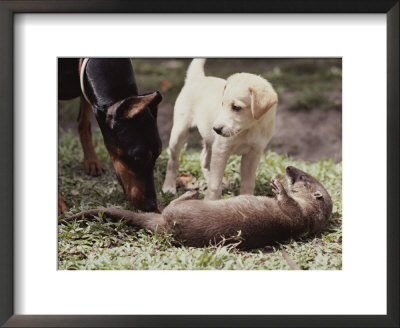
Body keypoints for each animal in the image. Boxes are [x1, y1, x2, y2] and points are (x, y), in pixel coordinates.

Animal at [57, 58, 162, 214]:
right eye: (138, 157)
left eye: (158, 154)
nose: (152, 207)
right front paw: (58, 202)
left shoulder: (85, 84)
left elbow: (84, 123)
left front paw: (92, 160)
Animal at [61, 167, 332, 249]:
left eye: (301, 177)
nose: (288, 168)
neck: (308, 216)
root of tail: (165, 226)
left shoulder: (297, 215)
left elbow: (286, 203)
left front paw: (278, 187)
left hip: (178, 212)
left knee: (170, 205)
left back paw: (192, 191)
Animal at [163, 59, 278, 200]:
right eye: (222, 104)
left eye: (236, 107)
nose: (216, 129)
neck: (250, 128)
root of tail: (197, 78)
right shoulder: (221, 150)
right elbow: (214, 184)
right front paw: (210, 201)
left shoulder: (253, 153)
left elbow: (248, 183)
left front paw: (245, 200)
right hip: (180, 132)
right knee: (173, 161)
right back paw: (169, 187)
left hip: (209, 139)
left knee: (204, 158)